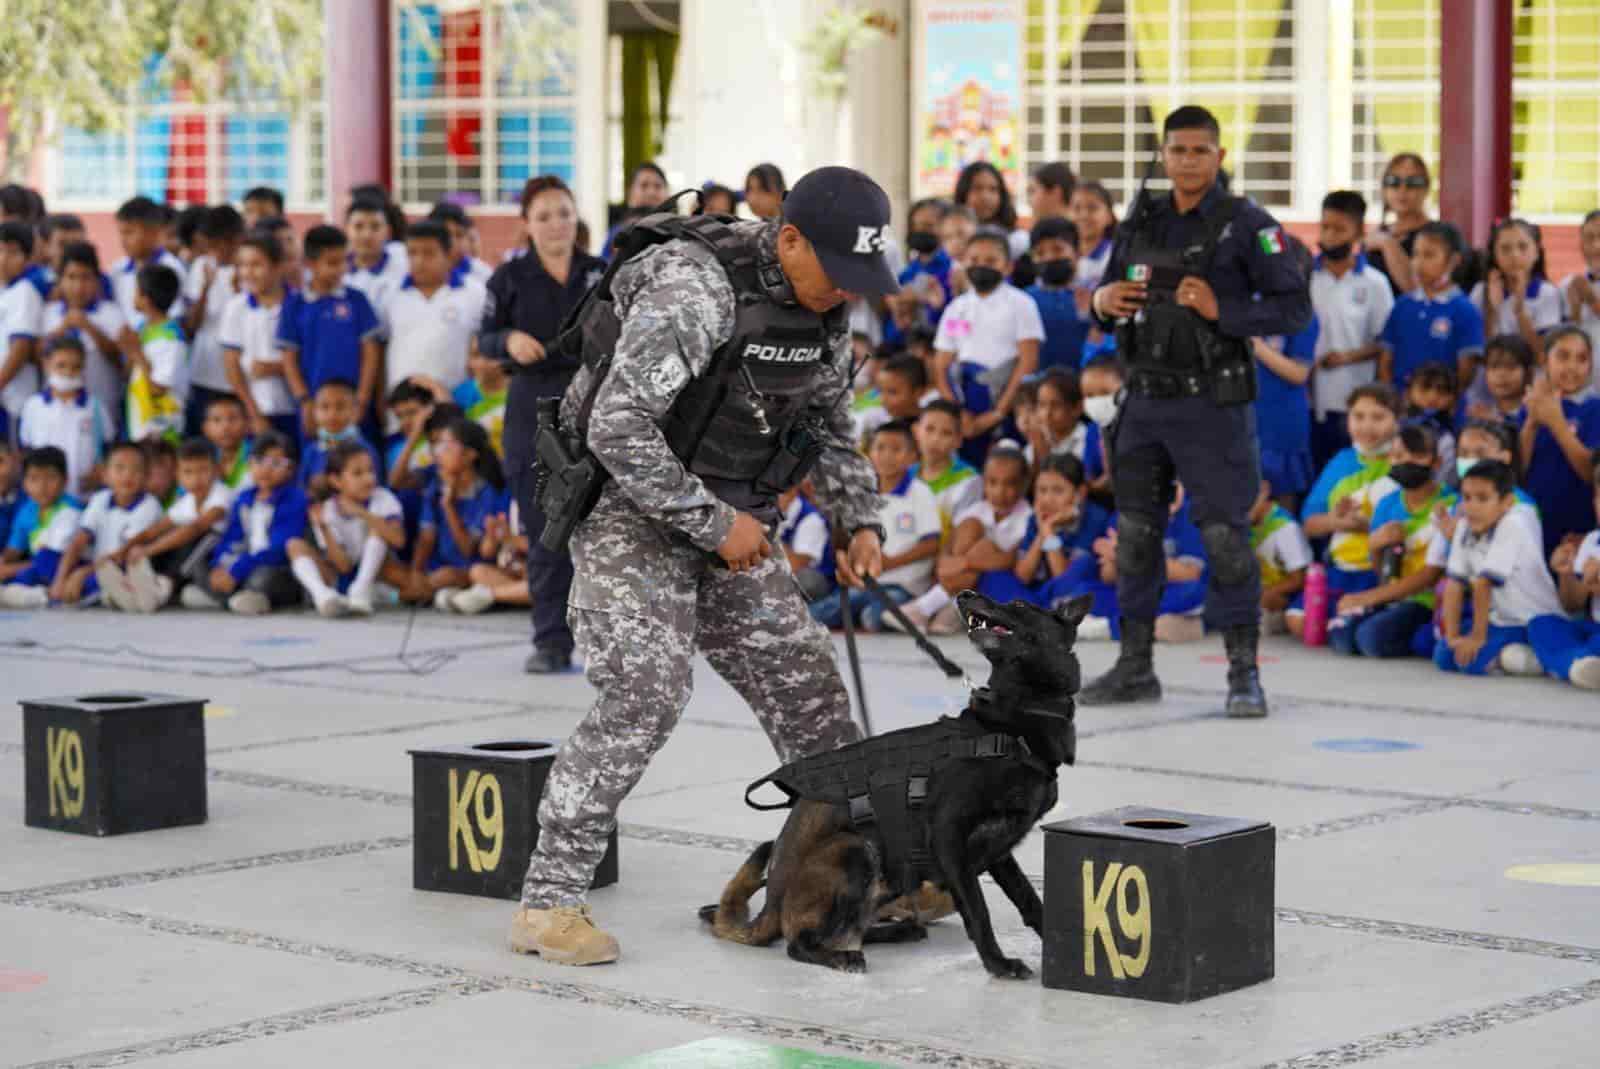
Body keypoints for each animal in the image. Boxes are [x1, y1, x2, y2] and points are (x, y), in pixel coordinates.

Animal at [700, 588, 1088, 979]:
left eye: (1020, 605)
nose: (964, 594)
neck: (1014, 721)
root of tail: (772, 905)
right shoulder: (949, 837)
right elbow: (978, 911)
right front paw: (998, 963)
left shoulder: (999, 849)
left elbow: (1029, 898)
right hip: (856, 850)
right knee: (800, 941)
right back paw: (839, 955)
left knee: (856, 929)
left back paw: (897, 931)